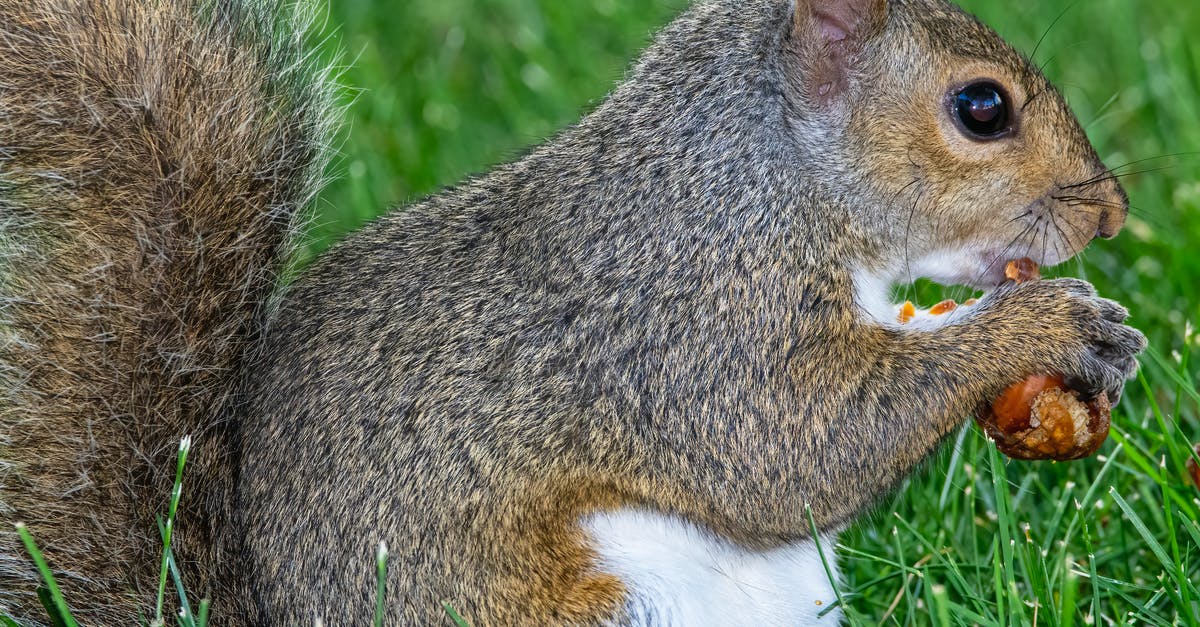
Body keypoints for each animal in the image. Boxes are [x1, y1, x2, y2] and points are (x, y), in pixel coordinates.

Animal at [0, 0, 1147, 625]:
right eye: (981, 107)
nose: (1110, 211)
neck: (761, 178)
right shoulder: (683, 322)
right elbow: (791, 447)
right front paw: (1053, 327)